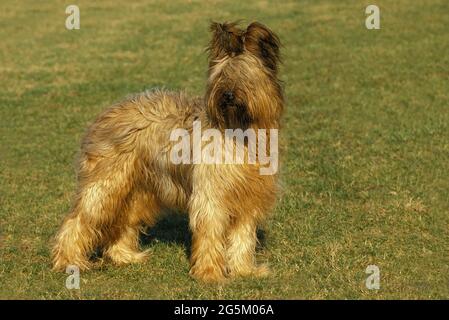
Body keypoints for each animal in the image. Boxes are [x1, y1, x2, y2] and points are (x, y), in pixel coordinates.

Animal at [52, 21, 284, 282]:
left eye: (245, 77)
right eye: (222, 77)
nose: (228, 96)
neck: (238, 132)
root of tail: (104, 114)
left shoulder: (249, 197)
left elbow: (243, 236)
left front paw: (245, 270)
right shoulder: (210, 194)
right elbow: (210, 231)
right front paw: (210, 274)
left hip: (137, 190)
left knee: (123, 223)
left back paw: (126, 256)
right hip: (107, 184)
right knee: (78, 220)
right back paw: (69, 262)